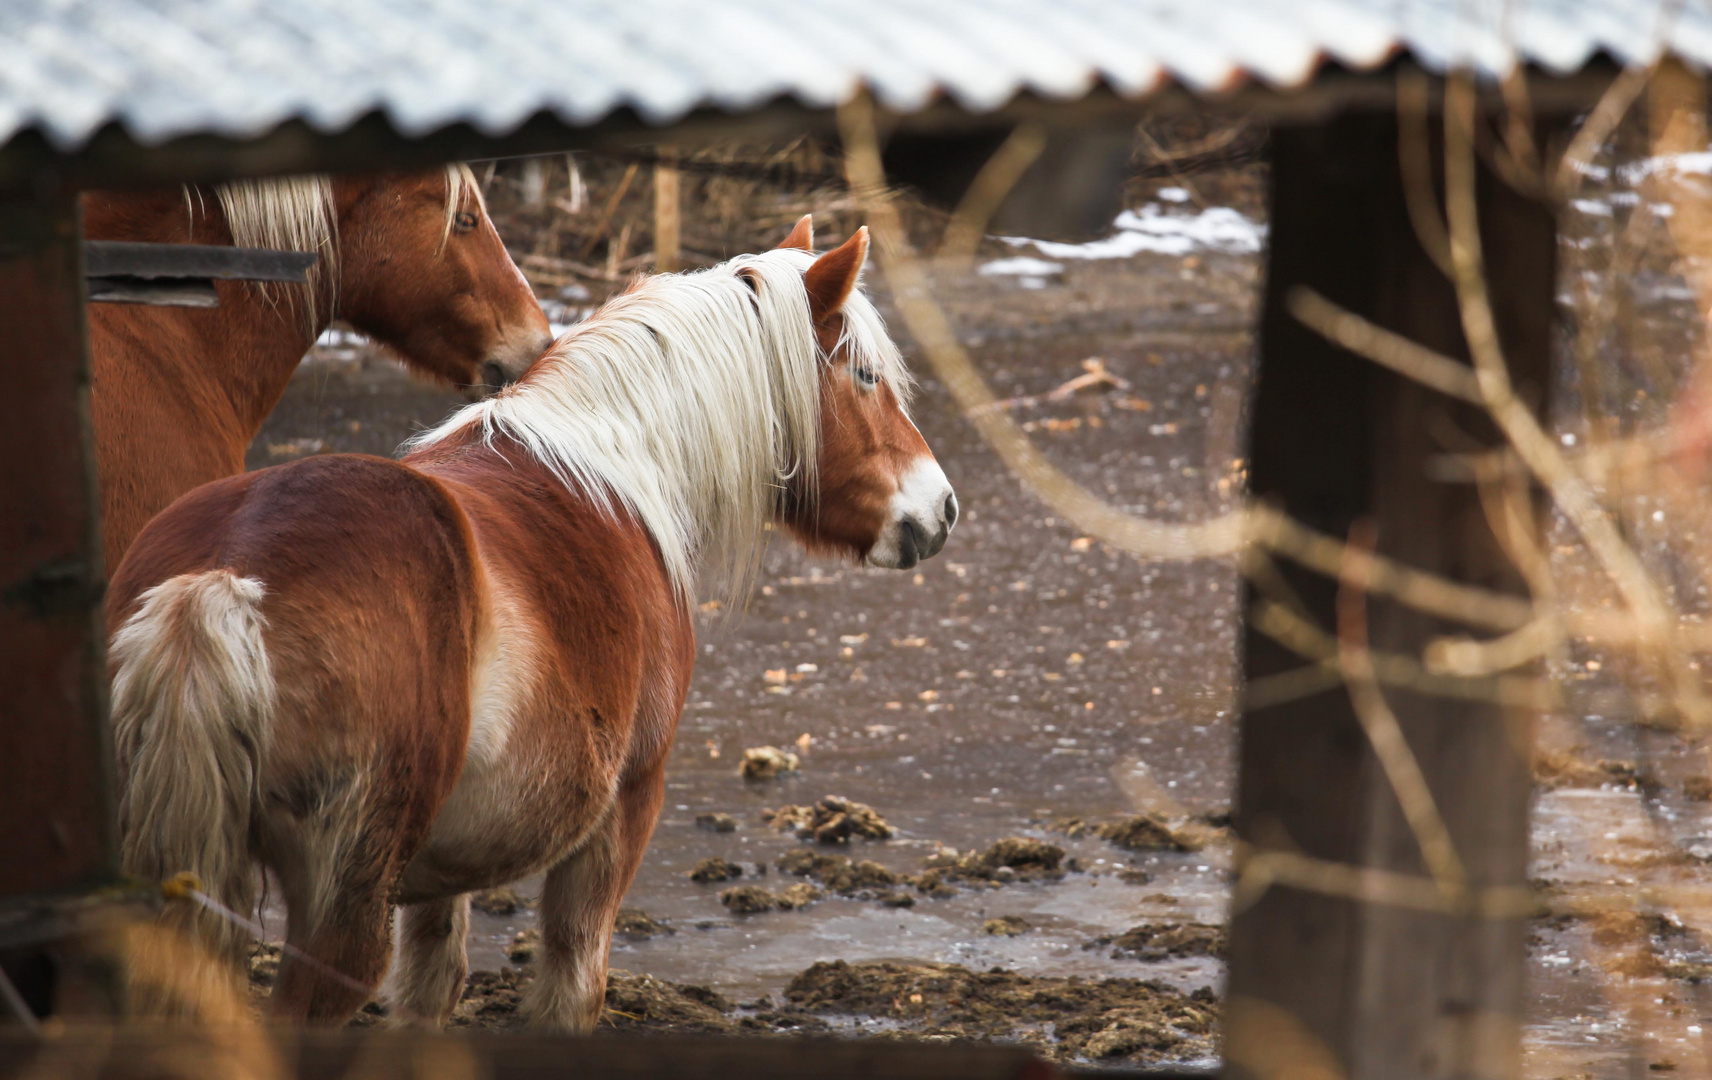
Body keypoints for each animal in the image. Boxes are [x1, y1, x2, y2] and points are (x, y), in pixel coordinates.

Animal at [108, 219, 965, 1033]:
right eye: (866, 376)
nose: (942, 507)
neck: (614, 463)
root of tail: (222, 576)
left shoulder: (437, 874)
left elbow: (429, 992)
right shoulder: (623, 812)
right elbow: (571, 990)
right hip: (340, 910)